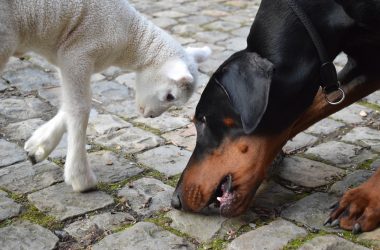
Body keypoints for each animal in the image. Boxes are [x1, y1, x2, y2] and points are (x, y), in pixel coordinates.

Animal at [0, 0, 211, 191]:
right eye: (170, 97)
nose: (150, 116)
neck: (131, 40)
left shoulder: (68, 58)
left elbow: (70, 105)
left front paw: (38, 147)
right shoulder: (78, 54)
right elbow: (80, 108)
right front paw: (80, 177)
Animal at [171, 0, 380, 233]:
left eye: (203, 120)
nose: (175, 200)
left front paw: (364, 199)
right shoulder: (364, 67)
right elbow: (300, 116)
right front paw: (275, 157)